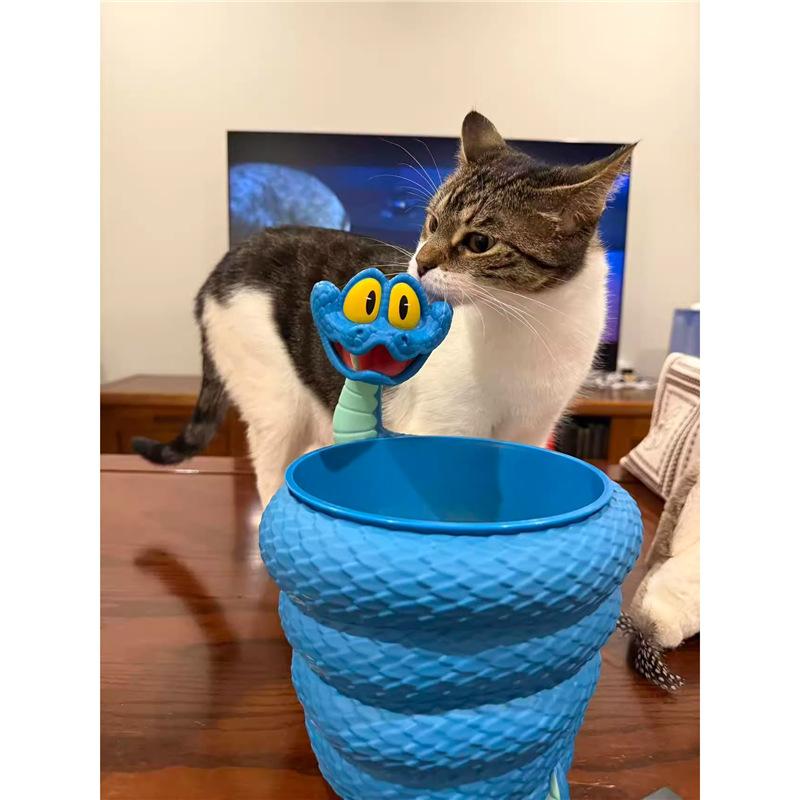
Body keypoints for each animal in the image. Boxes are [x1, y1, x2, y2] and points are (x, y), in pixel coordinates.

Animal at [133, 111, 633, 505]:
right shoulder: (441, 429)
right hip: (274, 399)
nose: (420, 262)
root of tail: (230, 257)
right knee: (272, 470)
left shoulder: (532, 429)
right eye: (432, 223)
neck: (527, 321)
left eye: (479, 243)